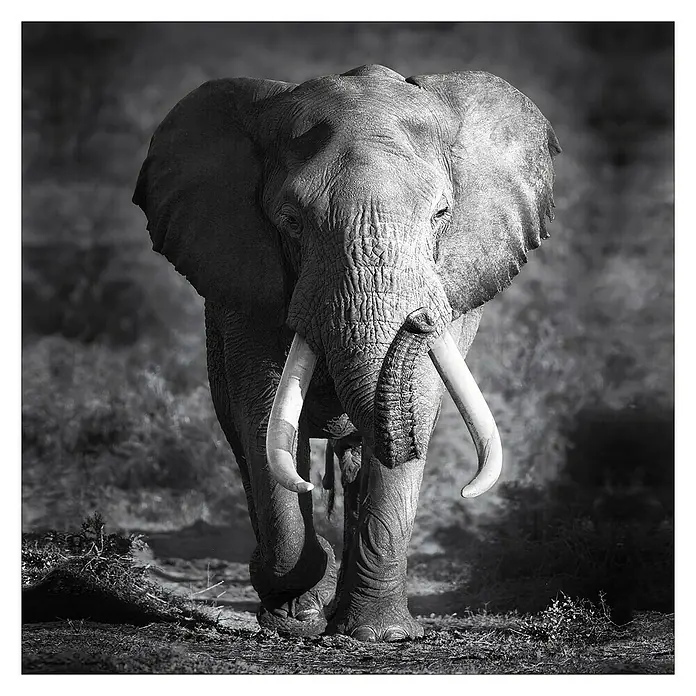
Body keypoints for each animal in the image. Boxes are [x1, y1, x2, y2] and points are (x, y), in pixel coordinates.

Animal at [133, 64, 560, 642]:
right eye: (291, 221)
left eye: (441, 214)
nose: (419, 320)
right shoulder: (243, 286)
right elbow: (262, 414)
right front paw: (295, 616)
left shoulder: (455, 281)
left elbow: (418, 405)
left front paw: (379, 635)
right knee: (245, 441)